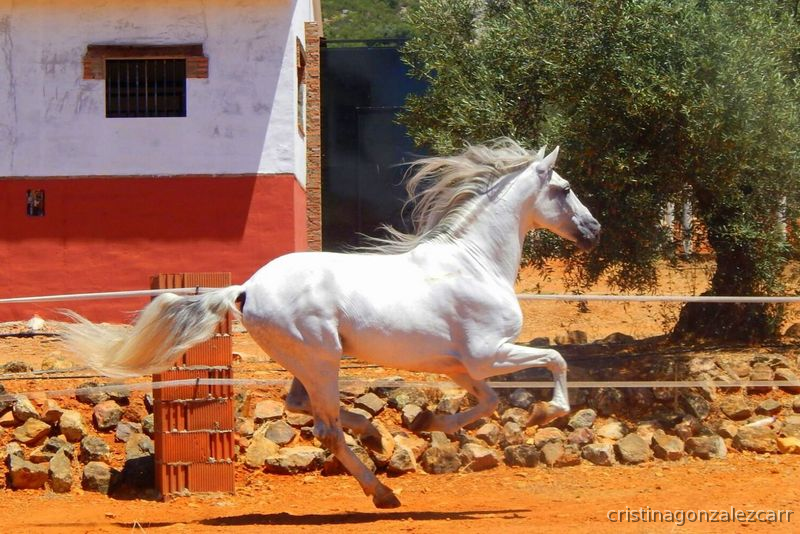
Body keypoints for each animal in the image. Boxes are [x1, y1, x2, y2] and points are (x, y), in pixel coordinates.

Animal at [62, 139, 601, 508]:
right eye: (565, 189)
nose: (594, 230)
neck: (475, 263)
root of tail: (245, 287)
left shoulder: (462, 366)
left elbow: (488, 402)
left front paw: (429, 422)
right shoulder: (490, 353)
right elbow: (556, 359)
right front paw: (544, 413)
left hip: (306, 360)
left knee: (303, 406)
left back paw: (377, 435)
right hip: (323, 357)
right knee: (326, 428)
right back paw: (381, 490)